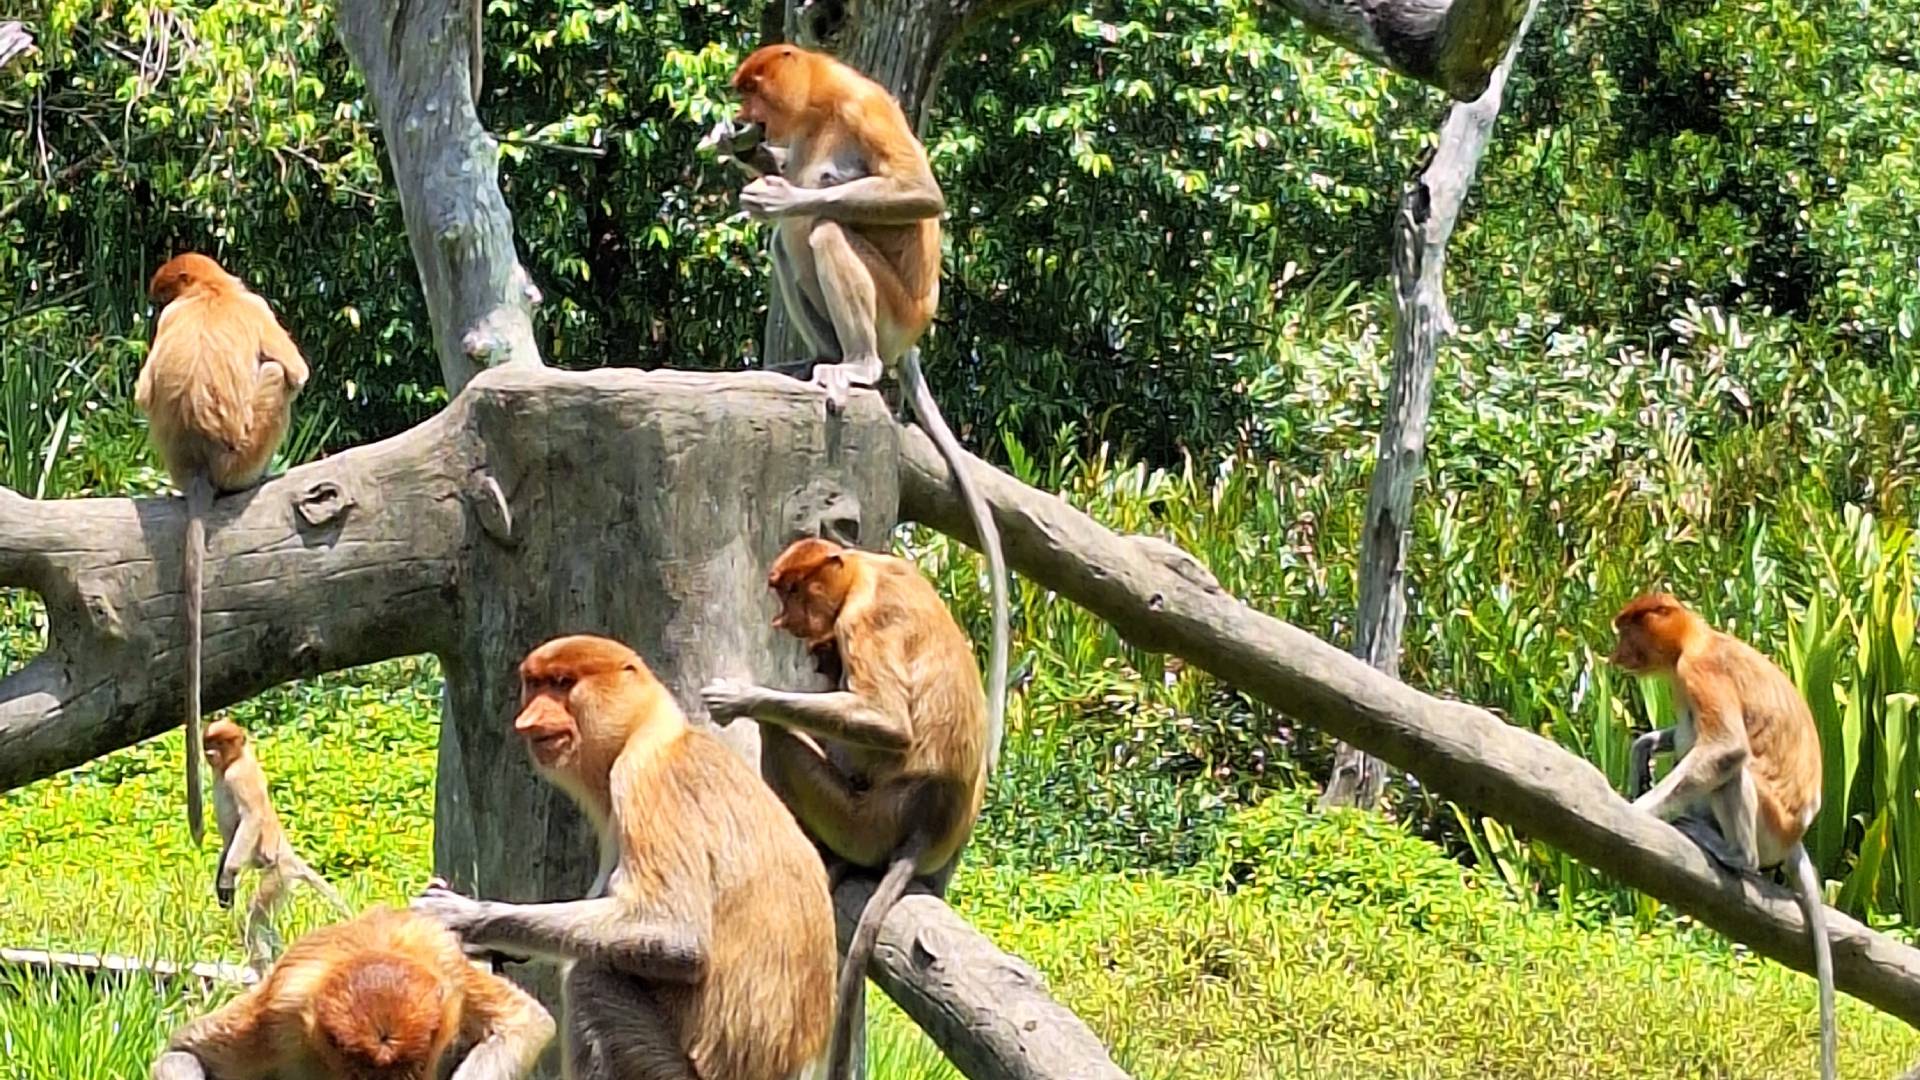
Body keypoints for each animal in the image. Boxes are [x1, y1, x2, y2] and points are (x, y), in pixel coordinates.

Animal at [135, 247, 309, 845]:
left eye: (161, 299)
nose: (150, 311)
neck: (210, 292)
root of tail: (201, 470)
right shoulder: (256, 305)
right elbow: (294, 371)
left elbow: (141, 392)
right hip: (248, 449)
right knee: (277, 374)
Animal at [153, 903, 552, 1068]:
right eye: (359, 1074)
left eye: (413, 1069)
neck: (371, 949)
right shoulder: (283, 1006)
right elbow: (184, 1050)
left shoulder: (446, 965)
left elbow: (525, 1021)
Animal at [412, 630, 833, 1076]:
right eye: (535, 683)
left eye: (563, 683)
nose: (528, 721)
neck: (648, 728)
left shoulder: (639, 776)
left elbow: (676, 937)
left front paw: (462, 914)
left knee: (590, 977)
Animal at [698, 538, 990, 1076]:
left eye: (793, 589)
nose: (783, 620)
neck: (862, 570)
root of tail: (925, 820)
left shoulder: (860, 619)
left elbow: (888, 725)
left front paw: (740, 698)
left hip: (864, 821)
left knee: (780, 738)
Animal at [1612, 591, 1835, 1076]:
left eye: (1626, 632)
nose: (1614, 655)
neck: (1697, 637)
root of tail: (1795, 836)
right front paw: (1643, 750)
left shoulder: (1698, 670)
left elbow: (1726, 747)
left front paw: (1637, 810)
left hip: (1770, 821)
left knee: (1733, 769)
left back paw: (1733, 853)